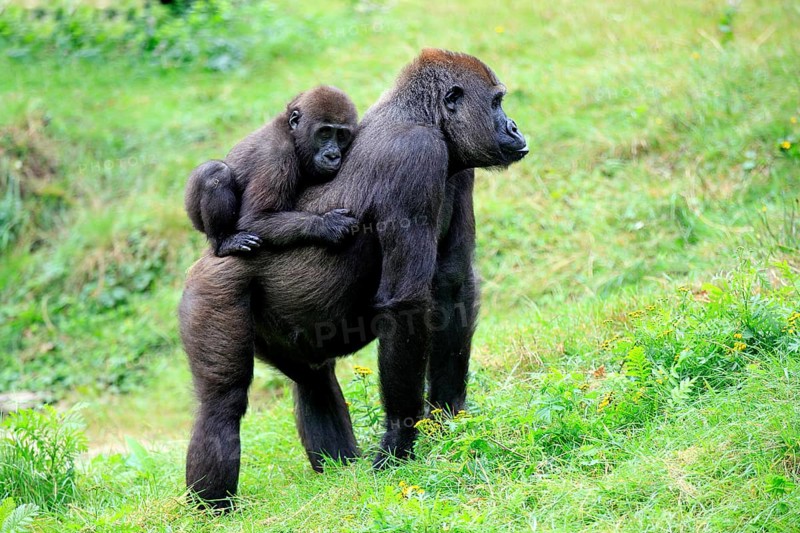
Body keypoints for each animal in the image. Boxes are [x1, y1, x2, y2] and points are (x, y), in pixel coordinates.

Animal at [184, 86, 359, 257]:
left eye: (341, 135)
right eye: (324, 132)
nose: (332, 155)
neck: (292, 134)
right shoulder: (278, 156)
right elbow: (256, 218)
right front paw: (326, 224)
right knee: (216, 172)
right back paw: (223, 242)